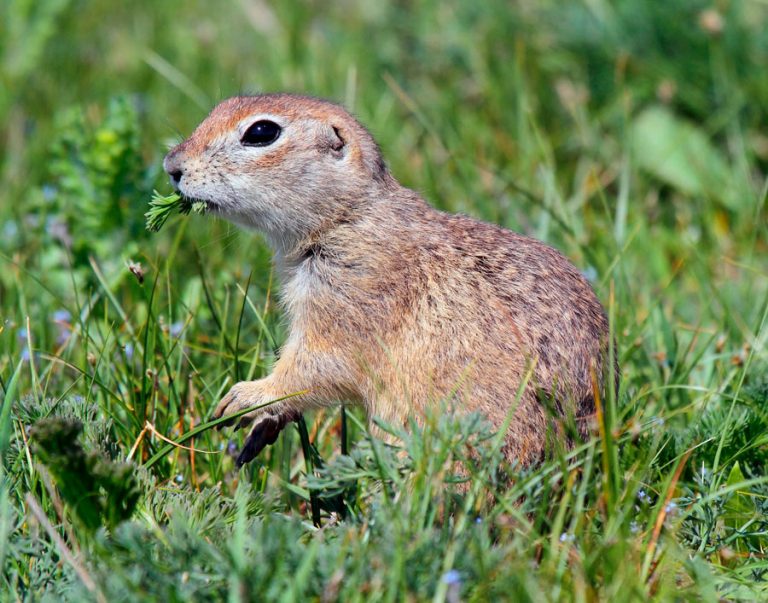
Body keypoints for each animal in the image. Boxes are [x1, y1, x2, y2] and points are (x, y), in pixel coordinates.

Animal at [165, 94, 616, 470]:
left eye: (261, 132)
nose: (171, 166)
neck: (348, 218)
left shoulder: (352, 295)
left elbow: (318, 365)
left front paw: (243, 398)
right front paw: (264, 428)